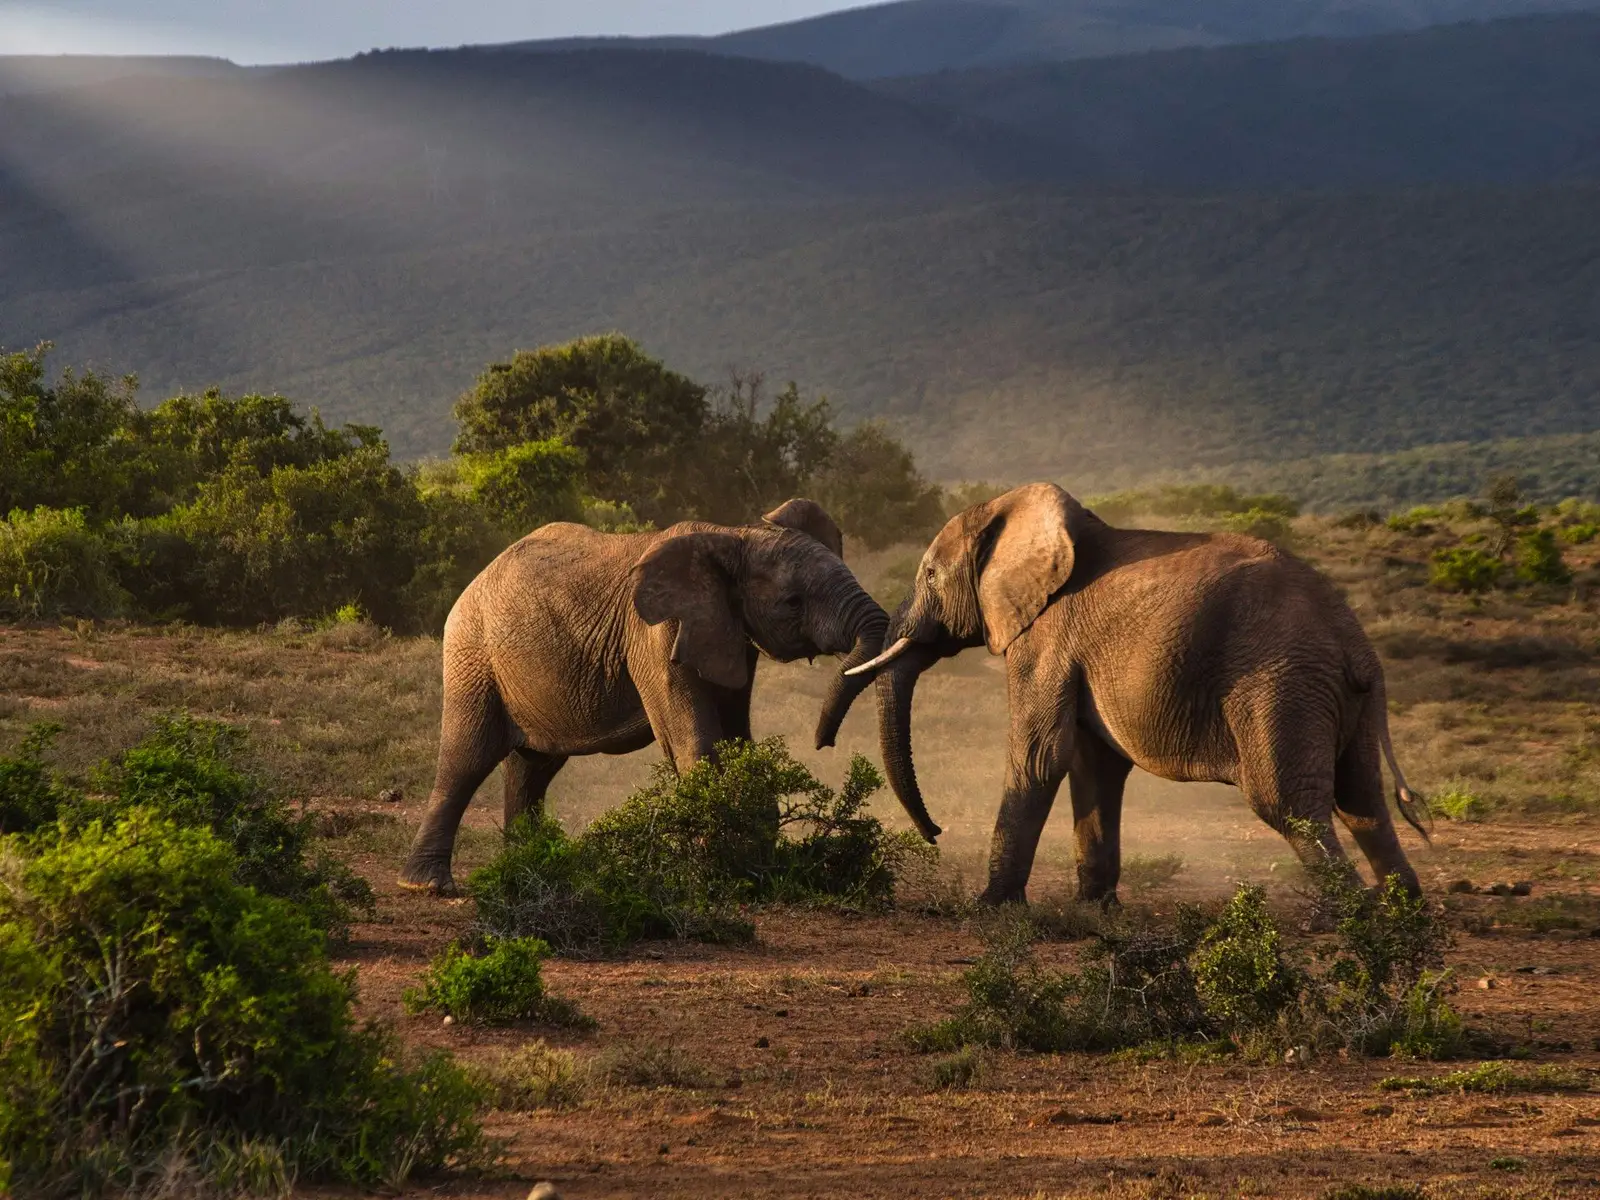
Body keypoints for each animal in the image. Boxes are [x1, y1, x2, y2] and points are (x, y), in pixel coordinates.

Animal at [399, 498, 889, 893]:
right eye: (792, 602)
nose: (823, 742)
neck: (734, 535)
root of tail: (479, 577)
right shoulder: (655, 636)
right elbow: (694, 742)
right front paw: (716, 874)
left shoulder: (727, 633)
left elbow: (737, 740)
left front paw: (759, 869)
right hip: (472, 652)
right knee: (467, 757)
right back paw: (427, 886)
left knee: (532, 767)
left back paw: (525, 871)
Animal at [842, 482, 1429, 907]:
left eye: (930, 575)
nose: (935, 832)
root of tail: (1357, 644)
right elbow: (1092, 762)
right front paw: (1095, 910)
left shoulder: (1047, 638)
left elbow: (1039, 757)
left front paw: (989, 908)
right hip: (1335, 697)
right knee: (1362, 800)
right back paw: (1403, 913)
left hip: (1281, 685)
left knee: (1289, 803)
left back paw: (1353, 919)